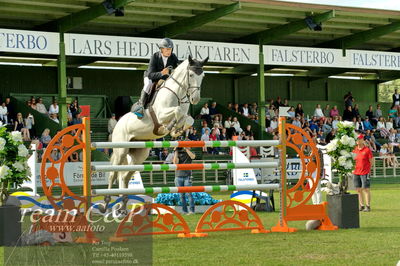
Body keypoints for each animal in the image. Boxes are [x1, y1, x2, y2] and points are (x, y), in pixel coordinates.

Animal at [99, 55, 209, 212]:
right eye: (191, 75)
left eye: (203, 76)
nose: (195, 99)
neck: (178, 93)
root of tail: (118, 123)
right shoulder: (162, 115)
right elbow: (177, 112)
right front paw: (169, 127)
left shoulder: (184, 115)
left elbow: (188, 118)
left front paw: (176, 130)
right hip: (121, 150)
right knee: (113, 174)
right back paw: (106, 204)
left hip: (139, 154)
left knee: (125, 176)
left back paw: (123, 207)